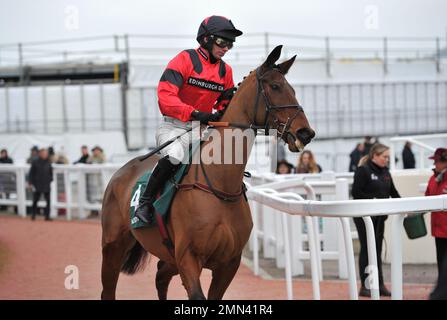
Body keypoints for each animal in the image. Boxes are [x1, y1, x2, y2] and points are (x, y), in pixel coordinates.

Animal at [101, 45, 316, 300]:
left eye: (292, 89)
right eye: (275, 87)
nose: (305, 133)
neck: (220, 185)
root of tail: (120, 173)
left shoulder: (228, 264)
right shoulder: (189, 259)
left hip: (168, 258)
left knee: (160, 277)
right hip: (113, 248)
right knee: (108, 289)